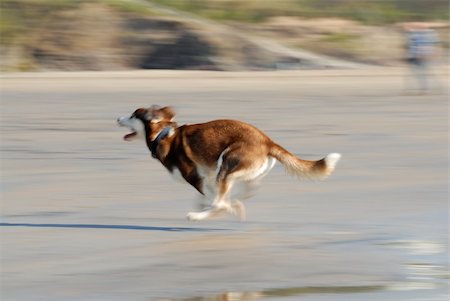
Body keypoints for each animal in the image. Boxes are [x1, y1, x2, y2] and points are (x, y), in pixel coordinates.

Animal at [117, 105, 342, 220]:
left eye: (132, 115)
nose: (117, 118)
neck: (162, 134)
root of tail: (267, 141)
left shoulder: (195, 177)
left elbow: (215, 200)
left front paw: (216, 208)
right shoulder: (207, 177)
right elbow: (213, 197)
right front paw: (226, 206)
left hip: (226, 163)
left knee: (221, 200)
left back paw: (200, 215)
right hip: (239, 172)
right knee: (246, 191)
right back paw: (234, 204)